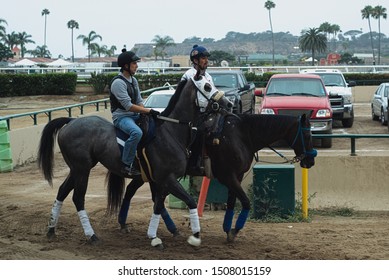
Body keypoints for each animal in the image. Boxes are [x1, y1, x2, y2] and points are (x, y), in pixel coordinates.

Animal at [38, 74, 233, 245]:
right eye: (207, 86)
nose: (229, 103)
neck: (170, 131)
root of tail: (70, 121)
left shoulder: (160, 181)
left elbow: (158, 205)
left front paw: (155, 235)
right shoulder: (167, 178)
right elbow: (188, 201)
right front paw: (195, 235)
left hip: (77, 169)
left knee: (62, 191)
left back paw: (51, 229)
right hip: (82, 169)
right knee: (78, 198)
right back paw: (91, 235)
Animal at [116, 112, 314, 242]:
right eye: (307, 133)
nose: (311, 160)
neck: (242, 135)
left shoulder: (237, 176)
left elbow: (232, 202)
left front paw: (228, 229)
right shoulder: (228, 176)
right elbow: (245, 202)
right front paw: (235, 230)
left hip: (148, 175)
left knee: (133, 191)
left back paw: (126, 224)